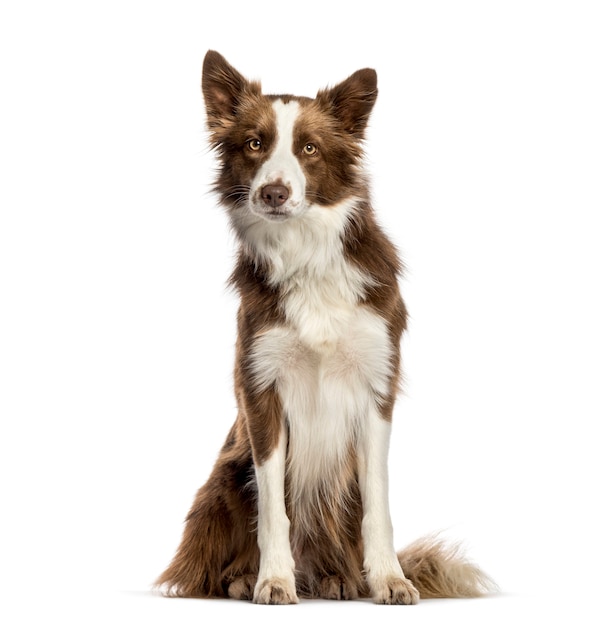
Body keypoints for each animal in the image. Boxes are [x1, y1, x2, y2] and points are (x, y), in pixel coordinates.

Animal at [157, 51, 496, 604]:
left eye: (309, 149)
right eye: (254, 143)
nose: (274, 193)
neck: (306, 255)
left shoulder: (377, 386)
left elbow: (379, 508)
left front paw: (389, 580)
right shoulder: (261, 390)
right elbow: (274, 507)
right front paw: (273, 579)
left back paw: (341, 579)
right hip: (226, 477)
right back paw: (244, 578)